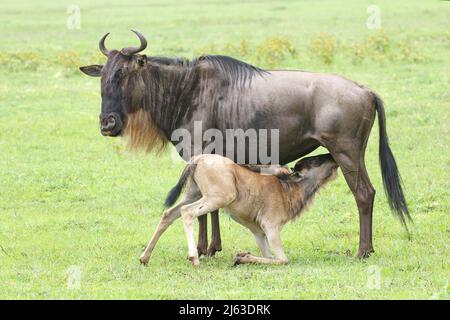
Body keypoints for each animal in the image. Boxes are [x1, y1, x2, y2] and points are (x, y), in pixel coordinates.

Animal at [141, 154, 338, 266]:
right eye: (316, 160)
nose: (333, 157)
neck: (288, 189)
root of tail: (198, 159)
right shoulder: (271, 228)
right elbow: (282, 260)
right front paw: (240, 257)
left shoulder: (259, 233)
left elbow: (269, 257)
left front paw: (242, 256)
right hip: (218, 198)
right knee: (187, 212)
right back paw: (194, 257)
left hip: (194, 194)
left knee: (169, 214)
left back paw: (145, 257)